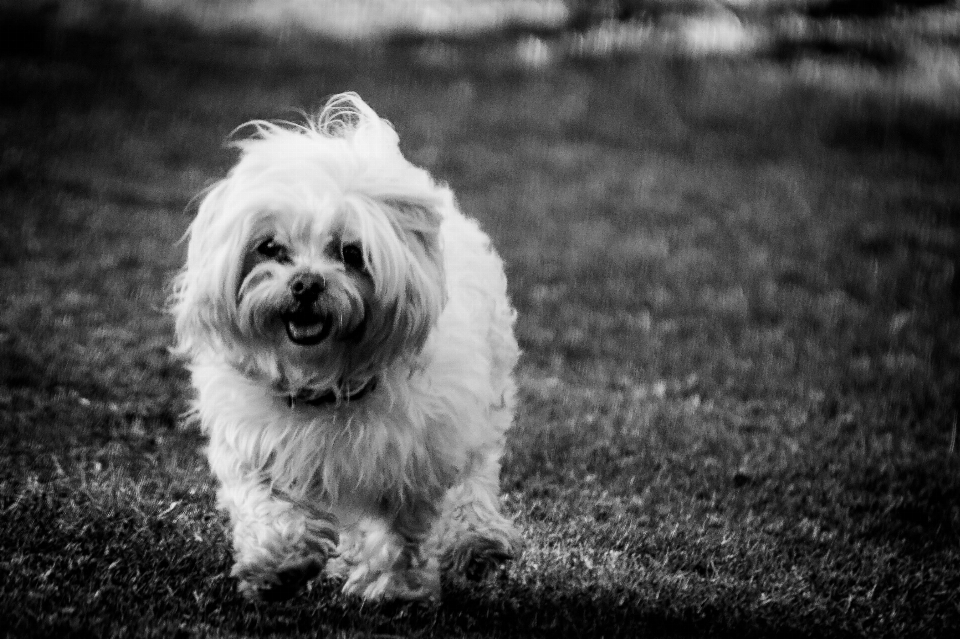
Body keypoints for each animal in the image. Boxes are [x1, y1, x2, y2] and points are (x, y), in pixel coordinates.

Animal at [169, 92, 520, 604]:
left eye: (351, 254)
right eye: (269, 248)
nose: (305, 283)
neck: (327, 378)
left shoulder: (414, 456)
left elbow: (401, 530)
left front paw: (392, 588)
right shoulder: (255, 444)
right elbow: (268, 505)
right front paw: (278, 564)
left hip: (483, 407)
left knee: (475, 477)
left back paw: (476, 540)